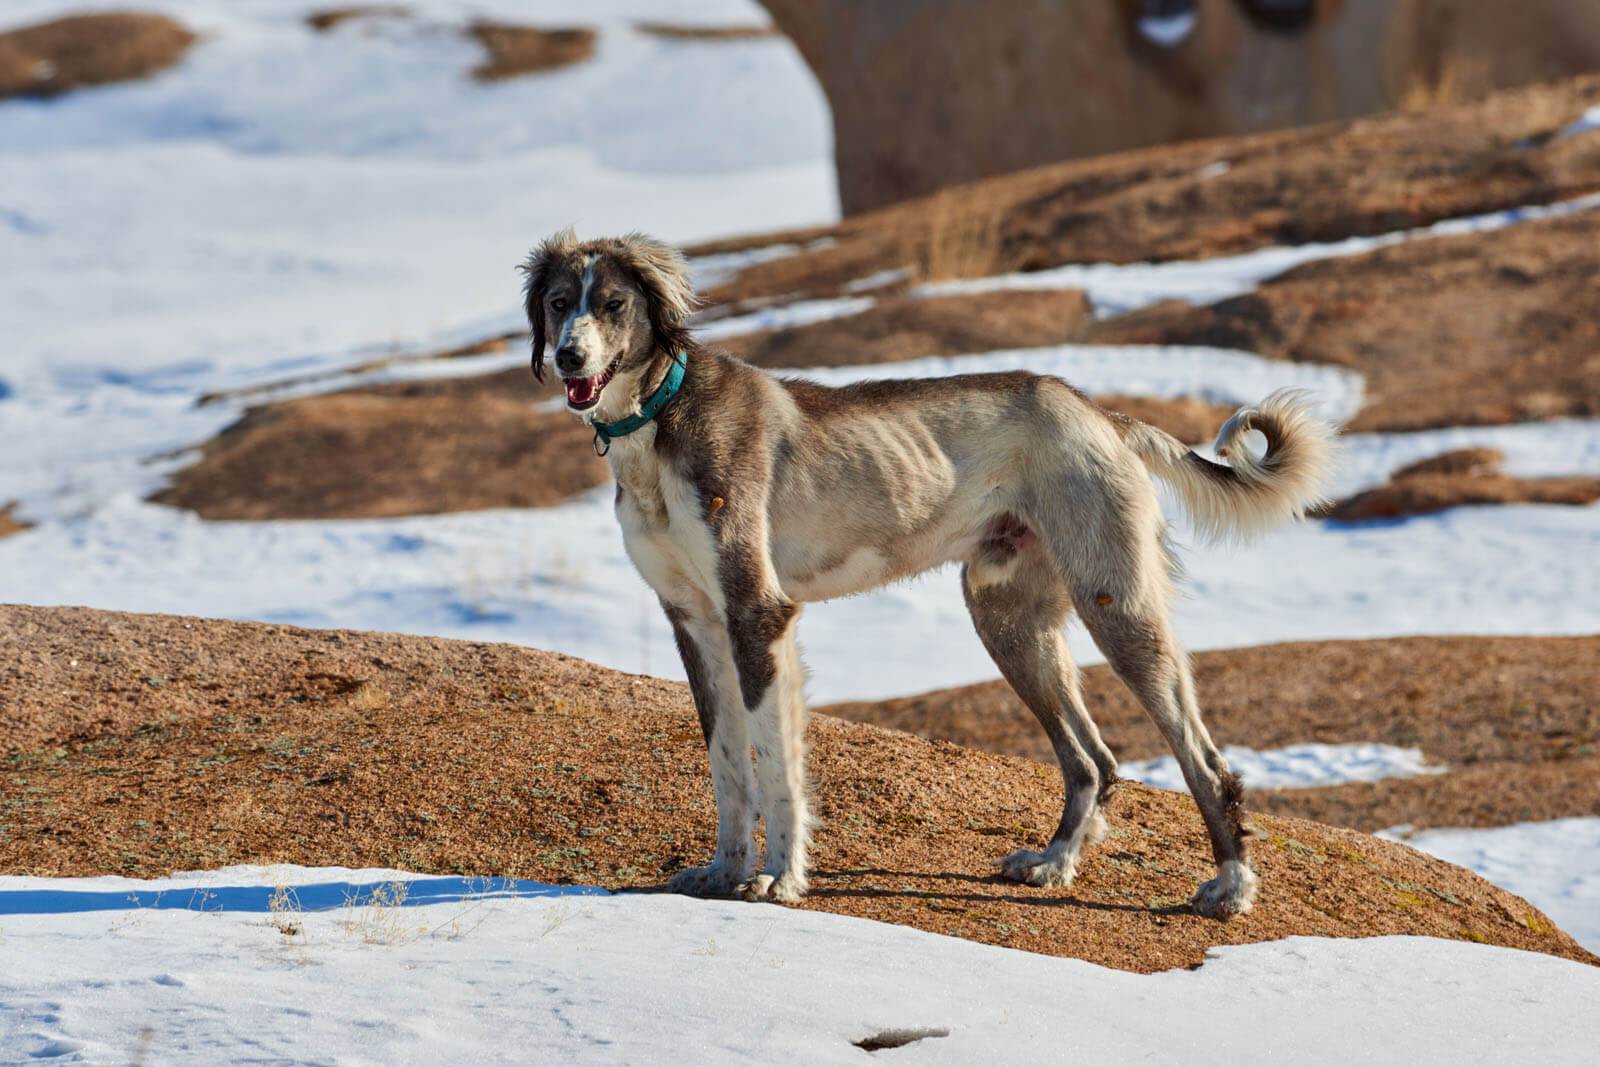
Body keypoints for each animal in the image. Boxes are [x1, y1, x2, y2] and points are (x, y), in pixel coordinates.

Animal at [521, 231, 1337, 921]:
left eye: (615, 305)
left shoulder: (758, 614)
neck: (661, 419)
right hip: (1008, 619)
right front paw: (725, 872)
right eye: (559, 303)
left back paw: (1231, 886)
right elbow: (729, 764)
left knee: (1202, 763)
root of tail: (1099, 414)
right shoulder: (695, 621)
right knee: (1093, 760)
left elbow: (778, 768)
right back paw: (1054, 863)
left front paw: (781, 879)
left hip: (1117, 606)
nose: (569, 359)